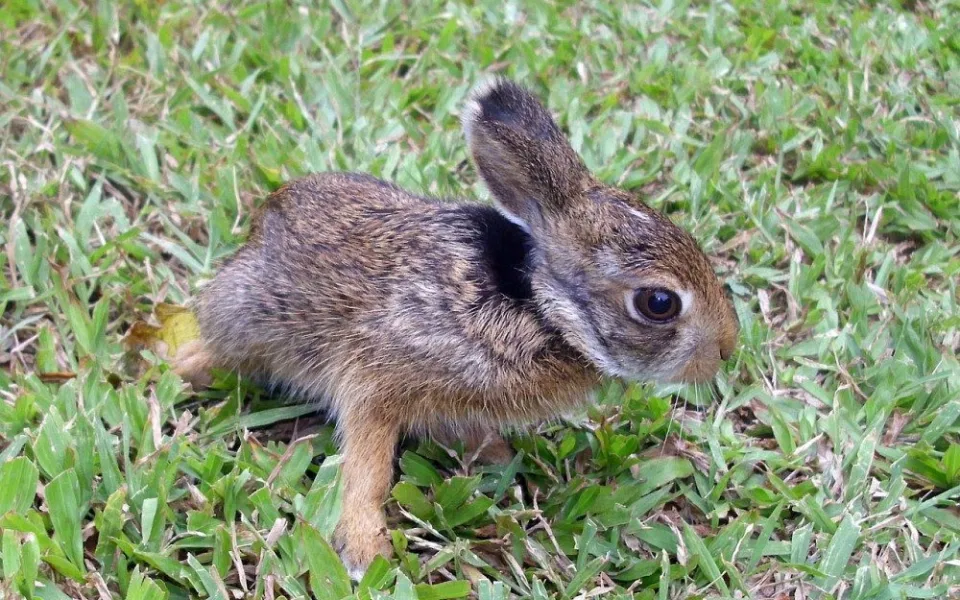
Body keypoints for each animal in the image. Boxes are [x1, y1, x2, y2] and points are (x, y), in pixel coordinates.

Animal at [173, 78, 739, 578]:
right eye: (659, 303)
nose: (727, 348)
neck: (542, 308)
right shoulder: (375, 379)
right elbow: (367, 469)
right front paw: (365, 553)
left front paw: (498, 460)